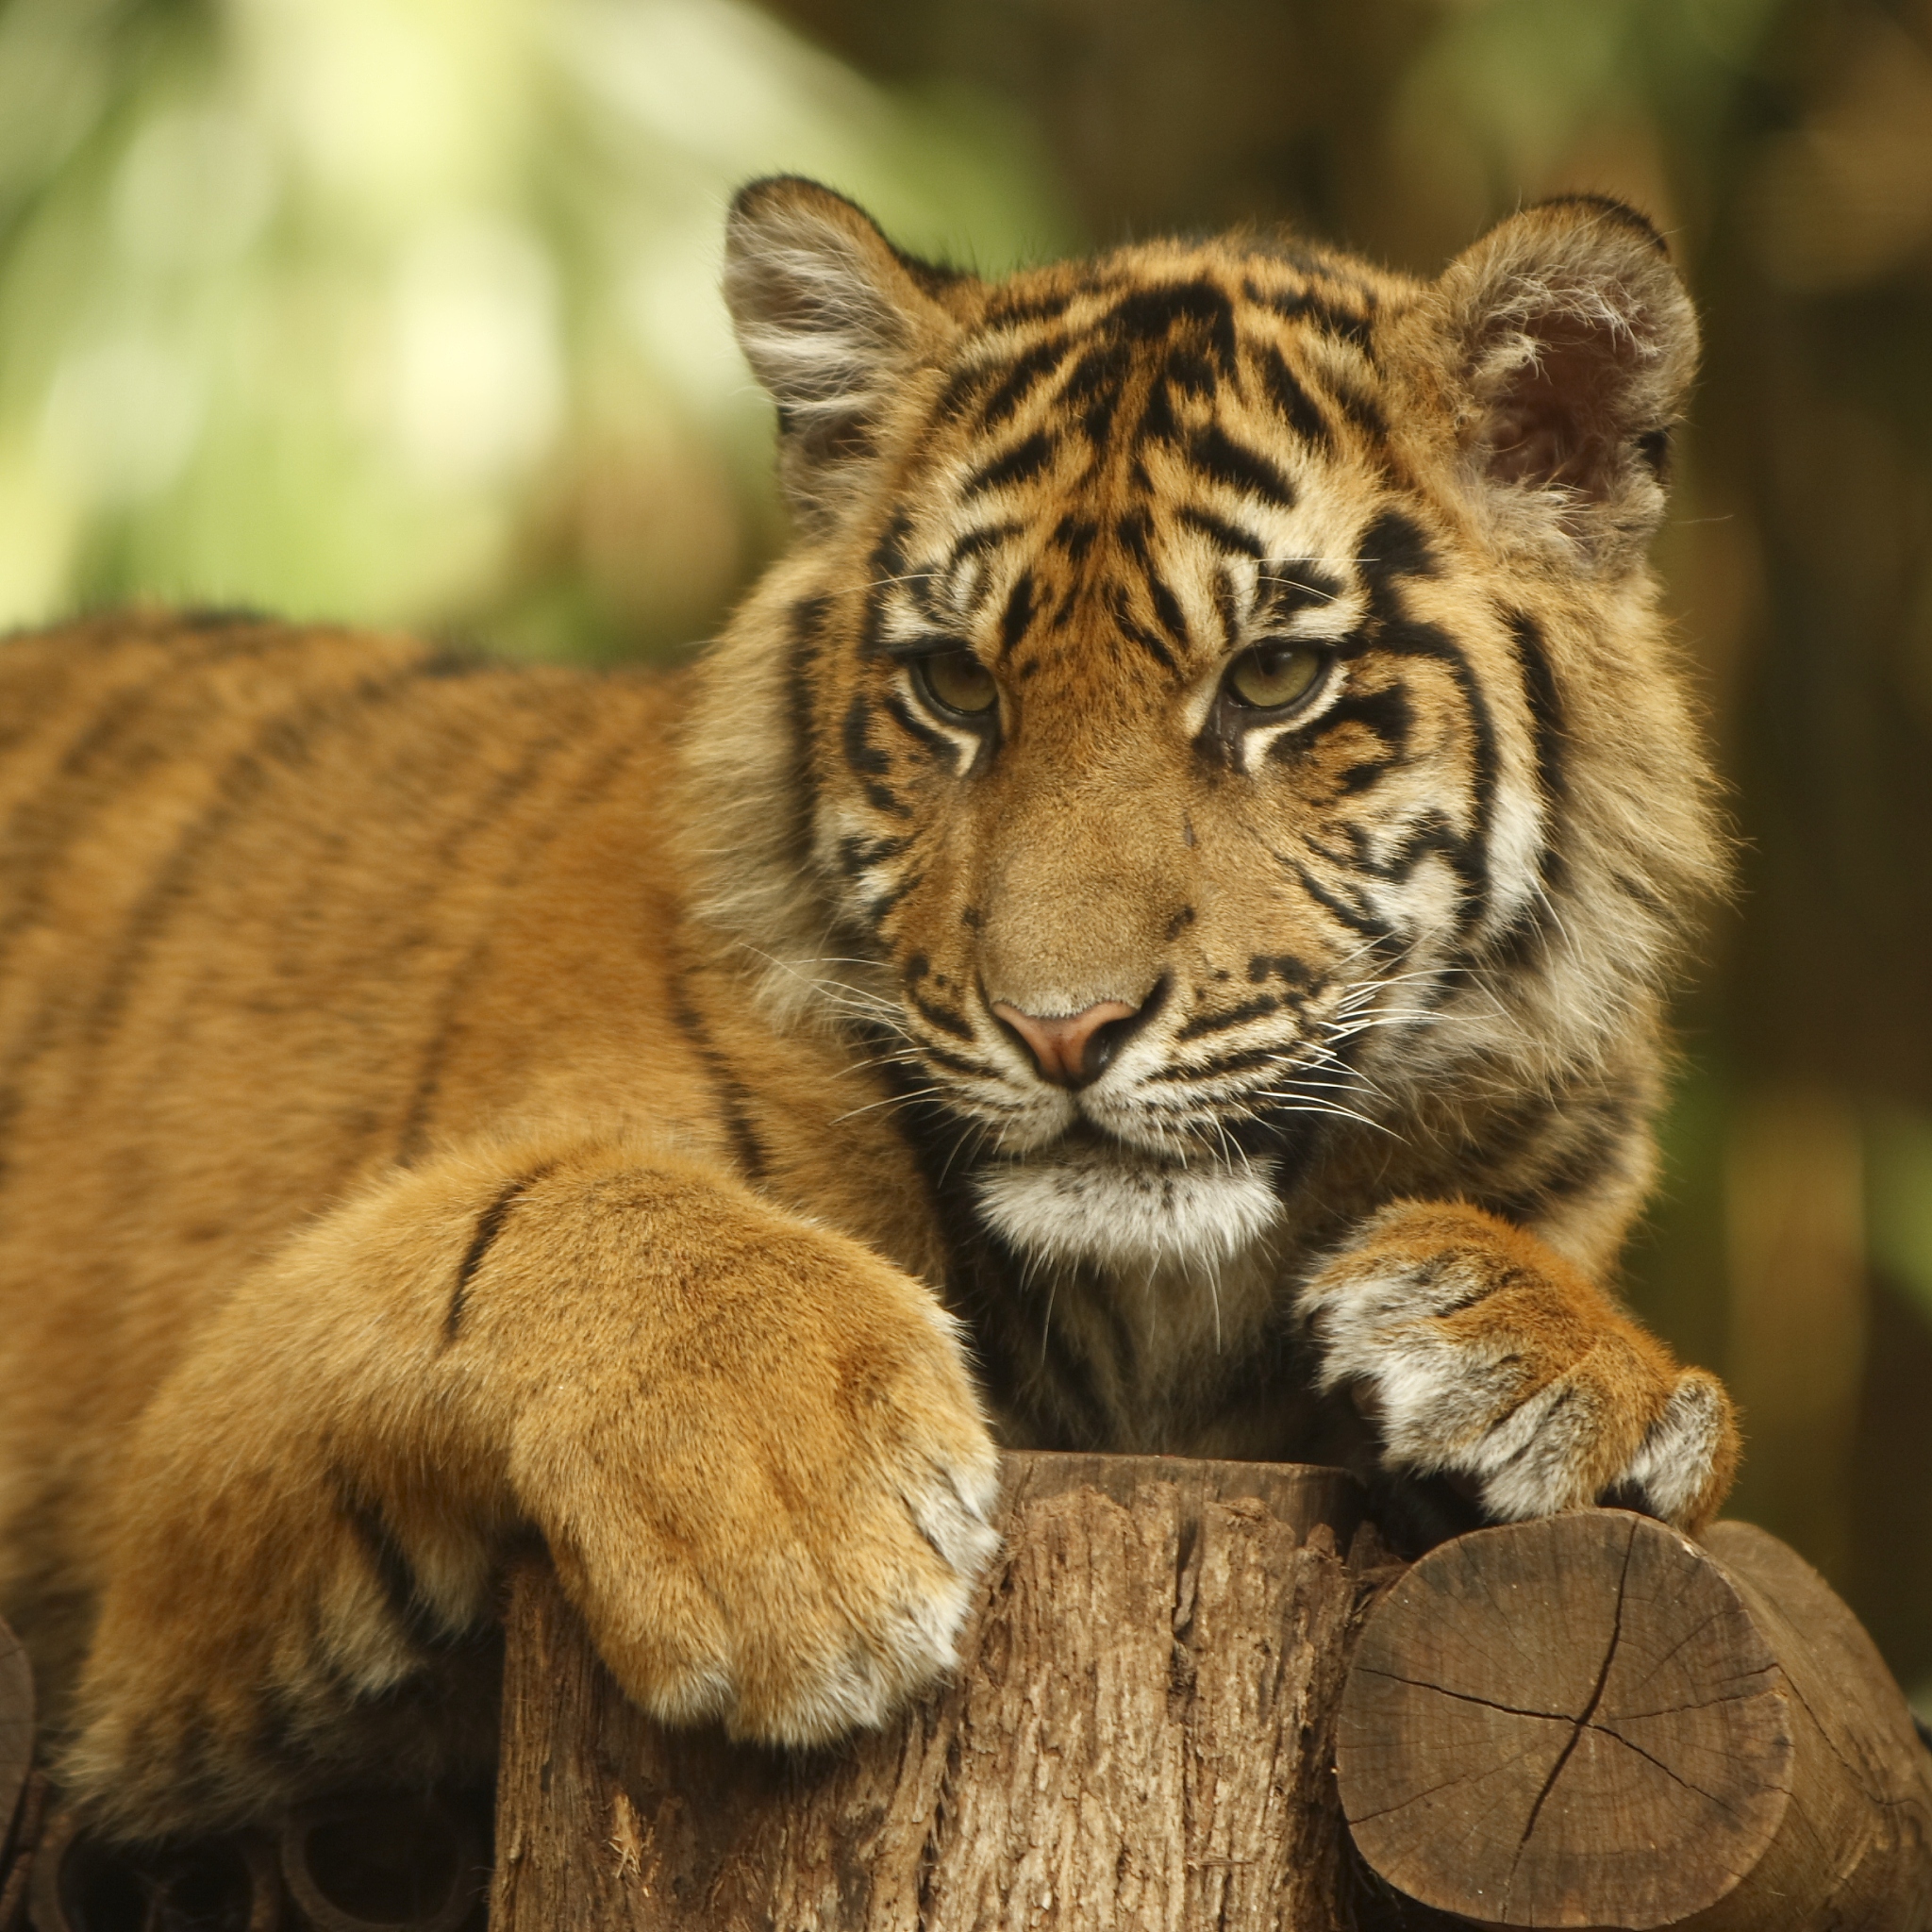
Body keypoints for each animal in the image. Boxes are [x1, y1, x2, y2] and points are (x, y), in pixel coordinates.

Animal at [0, 178, 1737, 1842]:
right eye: (955, 688)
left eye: (1270, 680)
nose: (1060, 1028)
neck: (1153, 1329)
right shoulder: (171, 1541)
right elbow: (551, 1210)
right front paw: (788, 1523)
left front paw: (1559, 1367)